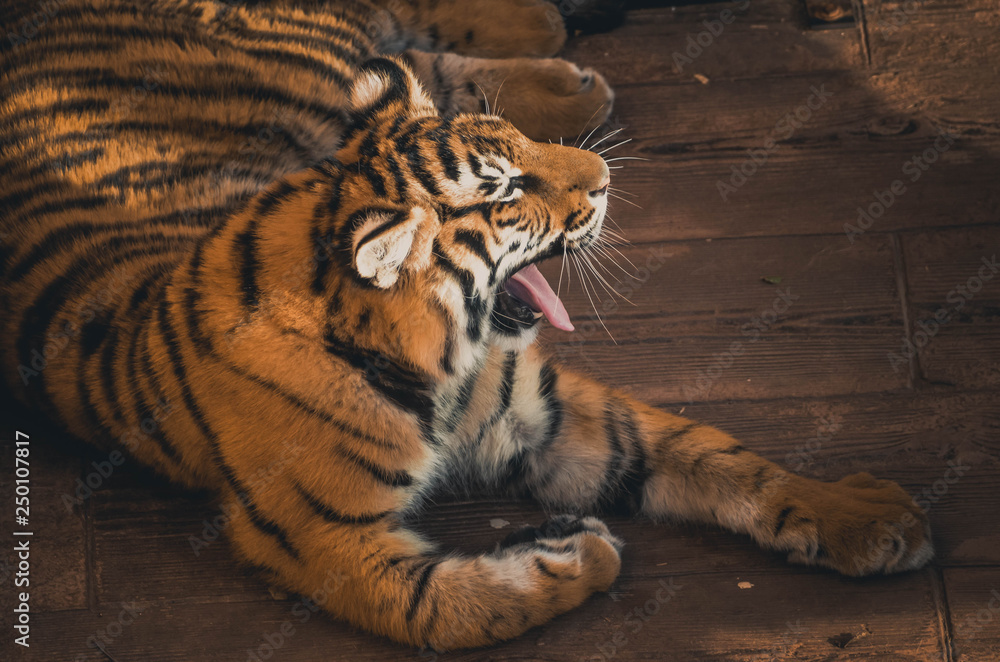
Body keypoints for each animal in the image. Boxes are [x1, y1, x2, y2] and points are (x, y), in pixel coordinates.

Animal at [0, 0, 934, 651]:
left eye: (521, 148)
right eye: (506, 190)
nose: (605, 180)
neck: (442, 357)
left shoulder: (549, 413)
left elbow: (710, 453)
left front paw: (869, 517)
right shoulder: (329, 541)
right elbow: (459, 610)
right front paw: (577, 554)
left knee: (405, 43)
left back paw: (559, 57)